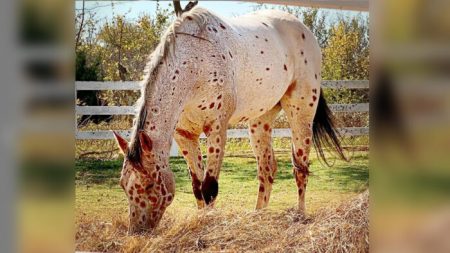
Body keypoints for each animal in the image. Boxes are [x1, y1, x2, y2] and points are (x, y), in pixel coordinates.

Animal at [111, 5, 344, 234]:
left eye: (149, 185)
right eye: (123, 185)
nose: (137, 231)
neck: (194, 63)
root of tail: (305, 31)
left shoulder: (217, 129)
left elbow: (209, 187)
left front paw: (209, 223)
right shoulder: (185, 135)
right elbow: (197, 187)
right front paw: (202, 220)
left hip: (301, 112)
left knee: (300, 168)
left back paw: (300, 216)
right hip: (260, 120)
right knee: (267, 169)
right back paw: (258, 216)